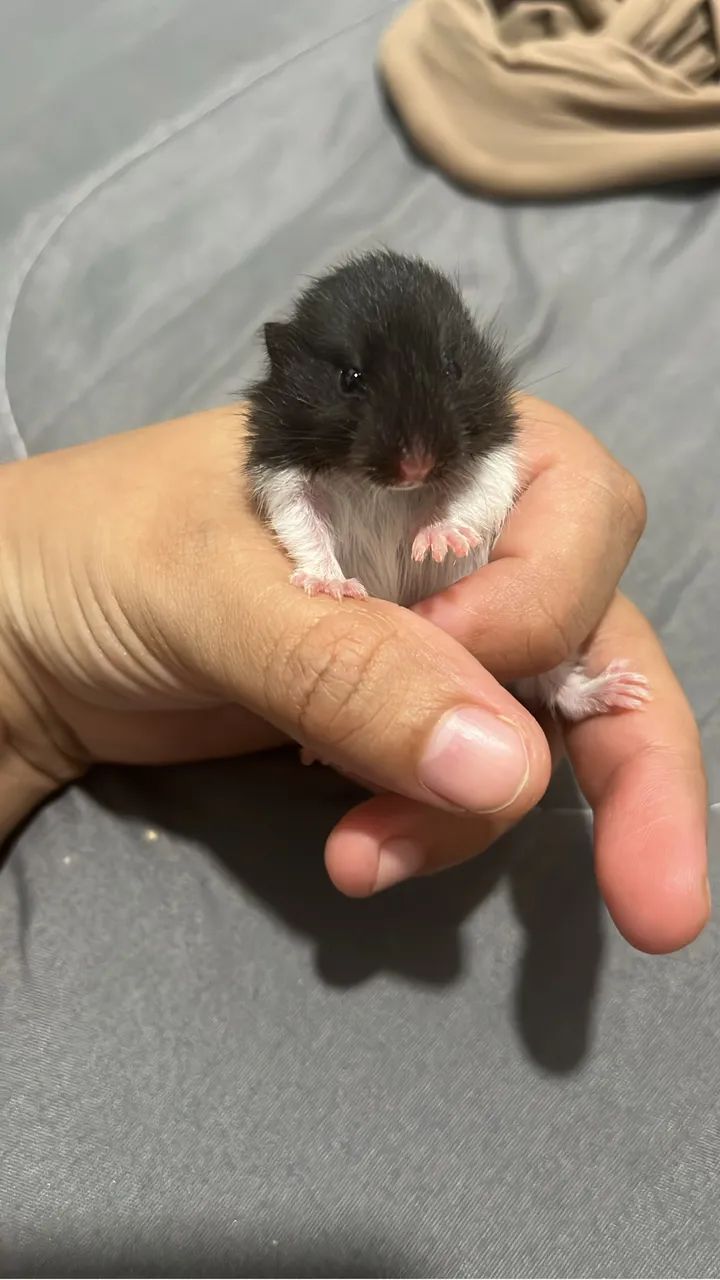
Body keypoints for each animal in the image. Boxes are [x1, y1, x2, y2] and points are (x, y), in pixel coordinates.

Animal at [245, 250, 649, 722]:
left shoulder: (493, 455)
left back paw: (625, 691)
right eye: (349, 378)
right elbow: (304, 527)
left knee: (555, 687)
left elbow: (472, 498)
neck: (388, 490)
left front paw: (435, 543)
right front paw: (333, 587)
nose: (416, 467)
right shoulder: (282, 474)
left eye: (451, 367)